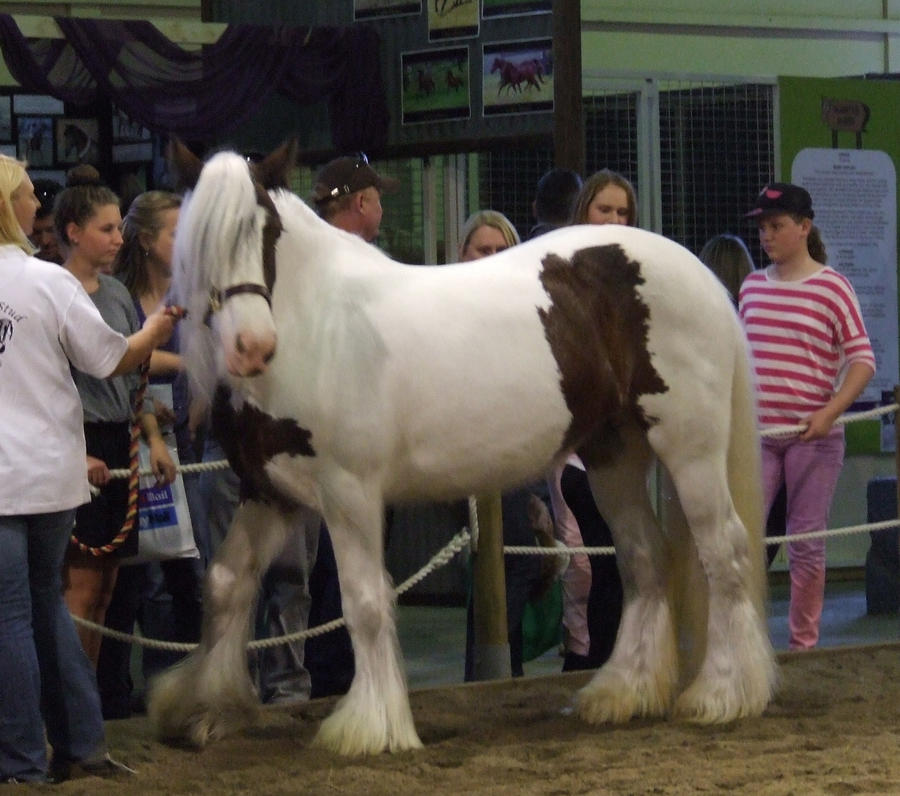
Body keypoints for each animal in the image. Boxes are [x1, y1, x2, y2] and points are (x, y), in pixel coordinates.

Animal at [151, 140, 776, 756]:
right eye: (201, 236)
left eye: (268, 229)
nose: (250, 346)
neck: (316, 326)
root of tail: (698, 274)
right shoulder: (269, 494)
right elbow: (226, 584)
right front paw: (202, 709)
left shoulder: (349, 493)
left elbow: (364, 601)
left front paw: (371, 727)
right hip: (613, 457)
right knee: (645, 558)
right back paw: (623, 690)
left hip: (690, 449)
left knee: (724, 550)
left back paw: (723, 694)